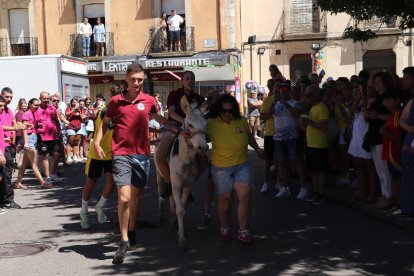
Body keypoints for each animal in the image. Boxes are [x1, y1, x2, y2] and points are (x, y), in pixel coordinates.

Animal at [155, 96, 207, 249]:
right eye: (190, 125)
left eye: (205, 124)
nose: (203, 147)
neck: (185, 159)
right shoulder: (177, 184)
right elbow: (180, 210)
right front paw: (182, 240)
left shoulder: (187, 185)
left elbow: (182, 207)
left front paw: (180, 230)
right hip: (159, 175)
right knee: (161, 193)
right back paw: (160, 215)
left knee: (172, 198)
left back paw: (173, 219)